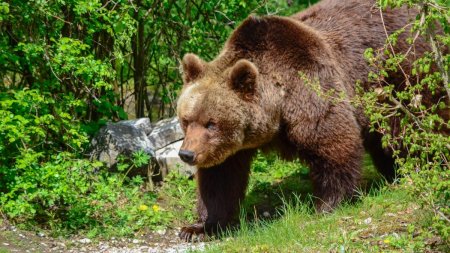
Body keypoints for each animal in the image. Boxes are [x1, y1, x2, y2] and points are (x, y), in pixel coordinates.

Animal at [176, 0, 432, 241]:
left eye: (211, 123)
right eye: (186, 120)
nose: (187, 154)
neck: (278, 106)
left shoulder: (310, 87)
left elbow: (333, 146)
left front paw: (327, 204)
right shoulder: (231, 148)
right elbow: (220, 178)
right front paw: (198, 227)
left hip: (402, 70)